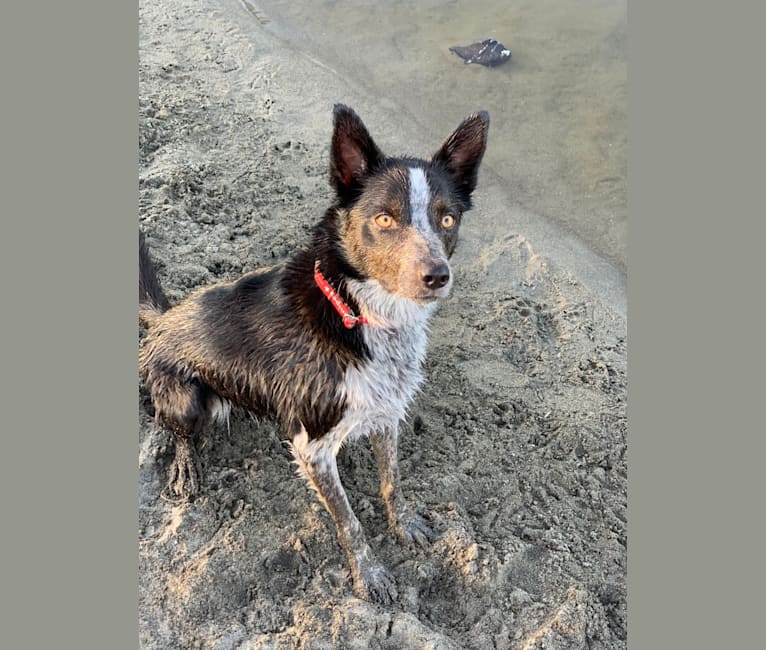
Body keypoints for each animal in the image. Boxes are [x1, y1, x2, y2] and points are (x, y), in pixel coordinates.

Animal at [139, 102, 492, 604]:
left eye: (447, 219)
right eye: (385, 219)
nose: (437, 276)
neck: (358, 313)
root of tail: (163, 319)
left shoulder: (386, 414)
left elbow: (392, 481)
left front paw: (403, 524)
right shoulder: (313, 448)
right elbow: (349, 522)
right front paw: (370, 575)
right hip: (188, 400)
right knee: (171, 425)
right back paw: (186, 465)